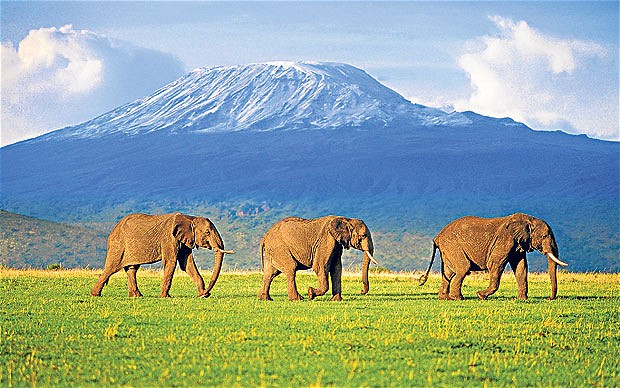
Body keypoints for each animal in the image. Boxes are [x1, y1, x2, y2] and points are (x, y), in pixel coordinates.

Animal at [92, 214, 235, 298]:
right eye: (207, 232)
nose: (207, 292)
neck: (190, 218)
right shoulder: (169, 238)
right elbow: (171, 262)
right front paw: (165, 297)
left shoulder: (184, 239)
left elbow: (187, 264)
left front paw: (202, 295)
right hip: (118, 245)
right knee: (112, 267)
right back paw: (95, 294)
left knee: (132, 269)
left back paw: (137, 296)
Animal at [416, 212, 568, 300]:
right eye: (544, 236)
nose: (549, 299)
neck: (528, 219)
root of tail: (437, 237)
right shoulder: (505, 239)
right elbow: (495, 264)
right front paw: (480, 296)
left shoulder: (518, 244)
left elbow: (521, 267)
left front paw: (522, 299)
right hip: (453, 246)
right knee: (463, 268)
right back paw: (458, 298)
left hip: (449, 249)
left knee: (448, 272)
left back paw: (445, 298)